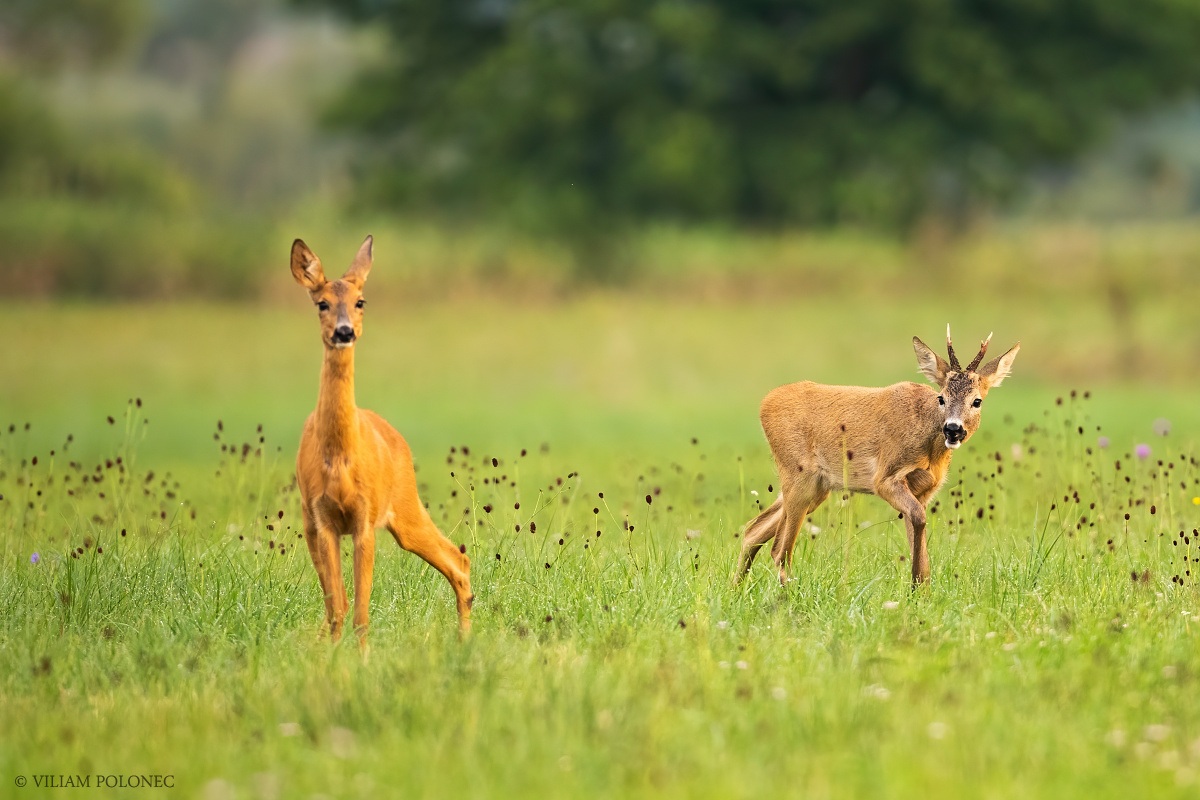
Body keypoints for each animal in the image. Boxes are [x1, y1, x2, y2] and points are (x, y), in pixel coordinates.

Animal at [291, 237, 472, 652]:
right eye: (322, 303)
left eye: (361, 301)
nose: (344, 332)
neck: (340, 457)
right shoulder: (324, 519)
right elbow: (339, 607)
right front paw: (334, 659)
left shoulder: (364, 518)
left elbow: (359, 611)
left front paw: (362, 658)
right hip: (309, 521)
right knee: (333, 600)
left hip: (404, 502)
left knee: (459, 560)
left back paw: (464, 641)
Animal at [734, 328, 1017, 585]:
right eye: (942, 397)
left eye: (977, 401)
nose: (953, 429)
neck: (930, 448)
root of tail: (765, 403)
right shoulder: (885, 476)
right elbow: (919, 518)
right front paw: (914, 587)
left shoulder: (923, 490)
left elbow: (919, 531)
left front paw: (920, 590)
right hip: (799, 474)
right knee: (779, 550)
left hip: (816, 486)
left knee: (752, 530)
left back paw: (737, 590)